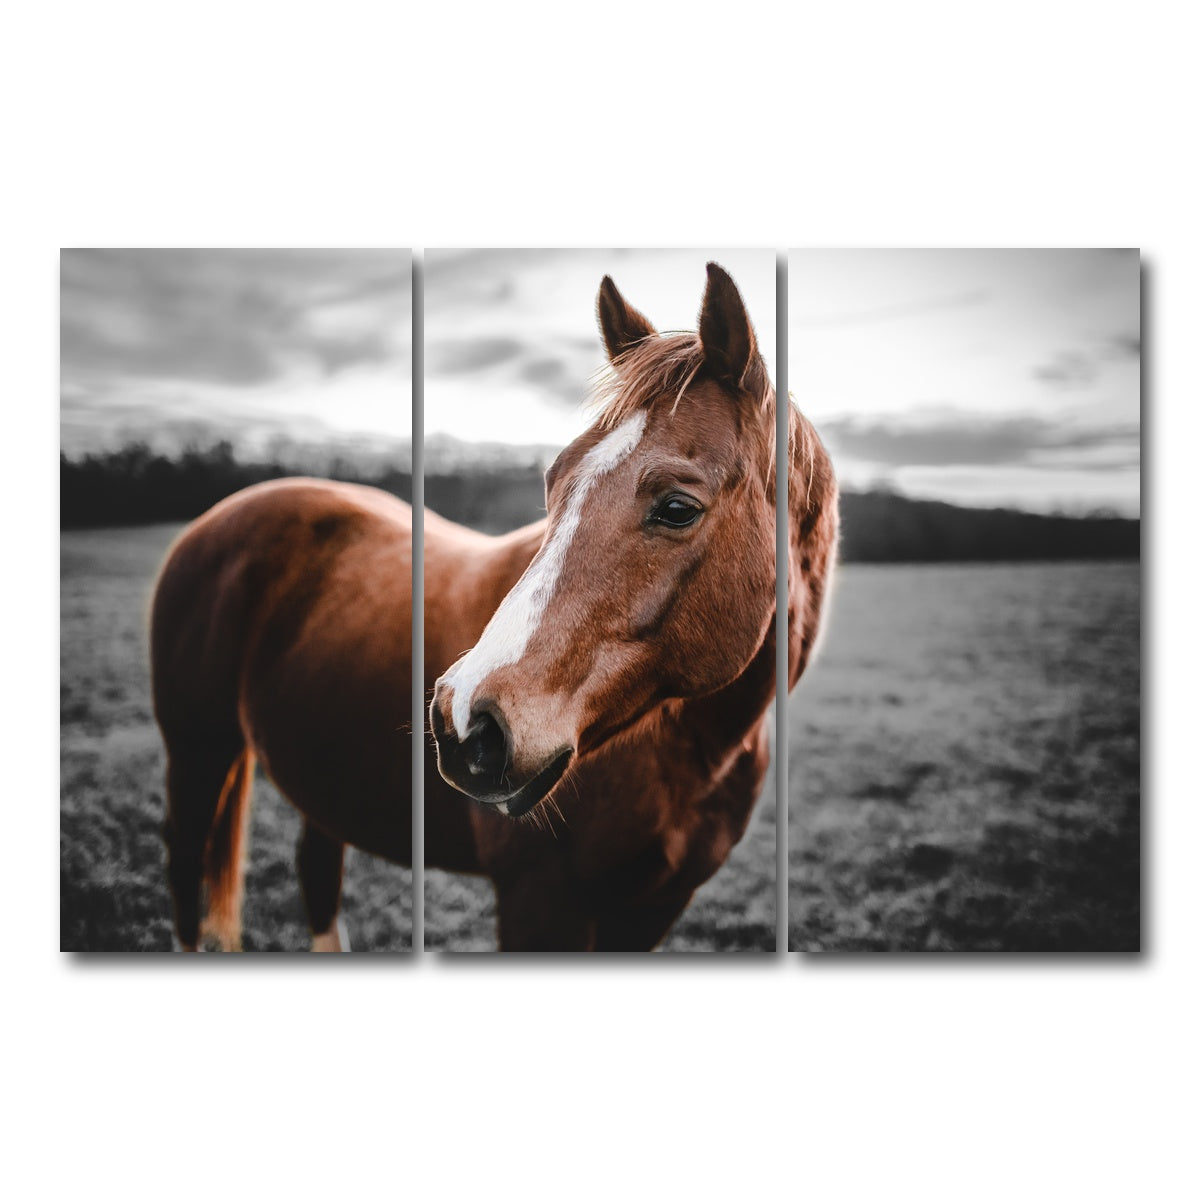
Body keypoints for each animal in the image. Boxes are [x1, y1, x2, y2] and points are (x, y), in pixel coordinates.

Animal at [426, 262, 838, 950]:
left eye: (676, 508)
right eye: (552, 482)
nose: (463, 723)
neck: (694, 753)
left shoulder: (654, 908)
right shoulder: (539, 903)